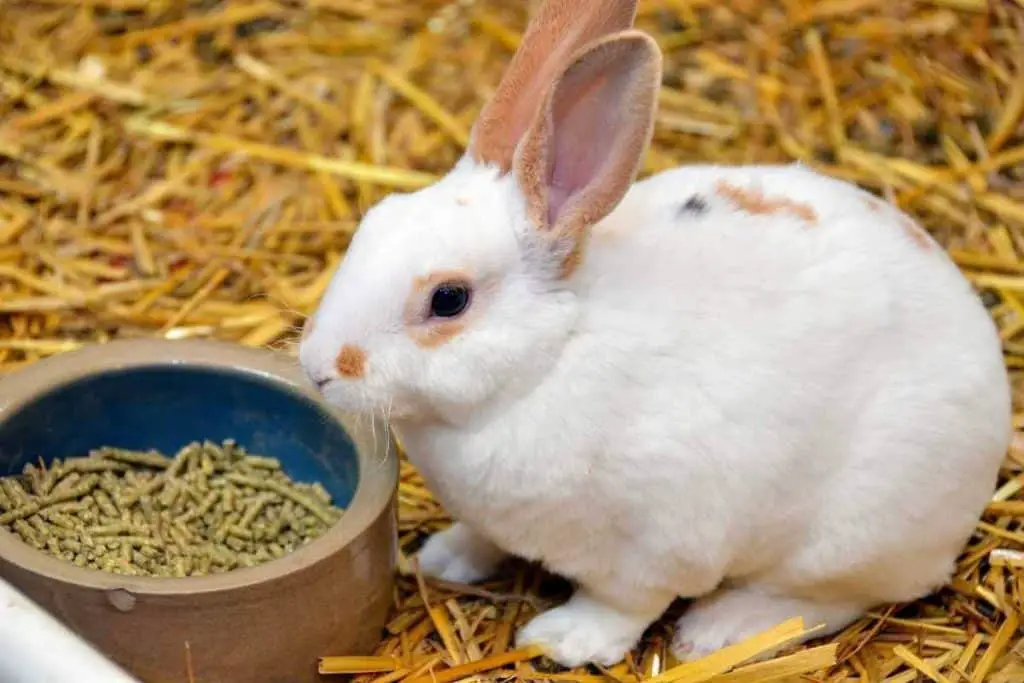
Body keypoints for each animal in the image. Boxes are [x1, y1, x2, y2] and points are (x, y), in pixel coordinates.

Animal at [299, 0, 1011, 671]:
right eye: (373, 220)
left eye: (448, 299)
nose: (318, 367)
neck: (546, 360)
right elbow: (482, 537)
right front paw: (441, 557)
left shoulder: (654, 544)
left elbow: (624, 604)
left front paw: (565, 639)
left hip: (849, 537)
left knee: (829, 602)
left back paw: (720, 629)